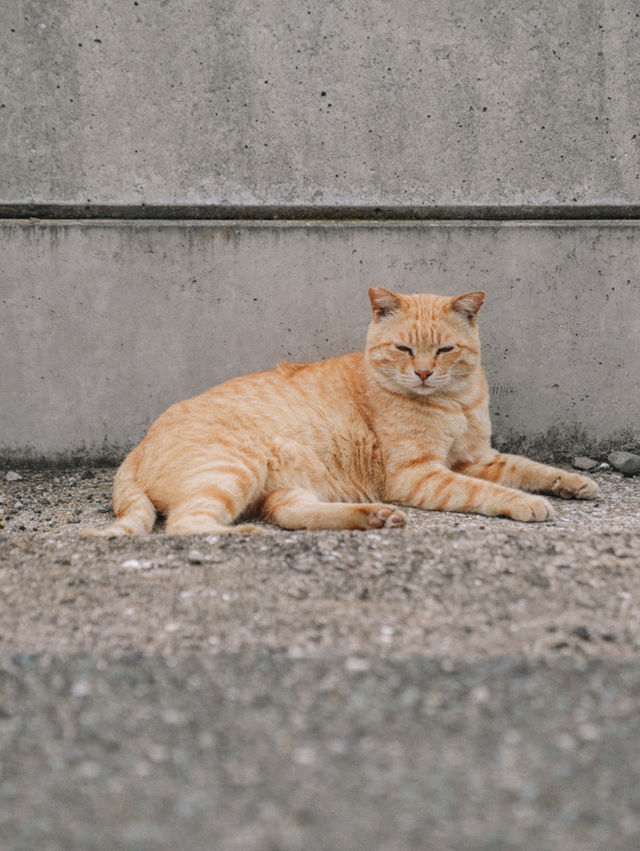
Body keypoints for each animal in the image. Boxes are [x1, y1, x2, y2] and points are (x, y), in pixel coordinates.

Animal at [82, 290, 596, 536]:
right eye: (404, 348)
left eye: (444, 350)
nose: (424, 373)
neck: (455, 403)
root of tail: (136, 448)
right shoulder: (420, 475)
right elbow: (487, 491)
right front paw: (527, 503)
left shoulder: (477, 457)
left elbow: (527, 467)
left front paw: (571, 482)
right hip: (232, 469)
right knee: (188, 526)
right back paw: (249, 536)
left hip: (280, 487)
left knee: (292, 515)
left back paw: (373, 518)